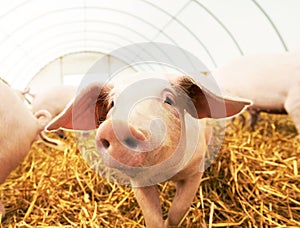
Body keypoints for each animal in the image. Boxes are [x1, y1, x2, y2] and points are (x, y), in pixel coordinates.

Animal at [45, 72, 251, 227]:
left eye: (169, 100)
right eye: (113, 104)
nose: (116, 127)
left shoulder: (195, 170)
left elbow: (178, 210)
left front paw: (170, 222)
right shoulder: (139, 182)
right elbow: (152, 218)